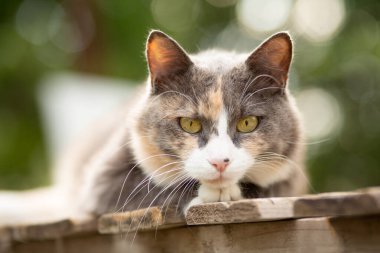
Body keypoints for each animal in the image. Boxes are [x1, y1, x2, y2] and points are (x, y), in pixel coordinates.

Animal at [53, 29, 308, 215]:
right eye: (189, 124)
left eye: (248, 123)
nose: (220, 162)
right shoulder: (104, 179)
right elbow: (145, 187)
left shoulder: (292, 176)